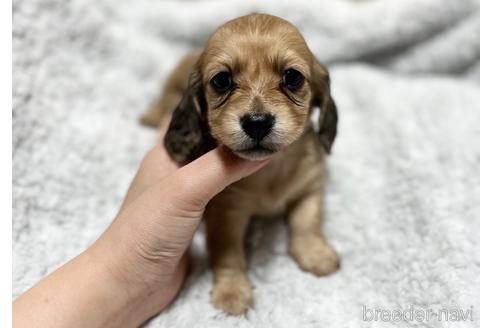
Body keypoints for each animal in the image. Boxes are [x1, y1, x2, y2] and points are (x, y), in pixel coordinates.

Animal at [142, 13, 340, 316]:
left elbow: (307, 222)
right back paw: (151, 114)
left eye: (293, 77)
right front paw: (232, 292)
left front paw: (316, 254)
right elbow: (229, 254)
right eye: (222, 80)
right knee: (163, 98)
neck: (271, 172)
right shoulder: (226, 211)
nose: (257, 123)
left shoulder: (310, 185)